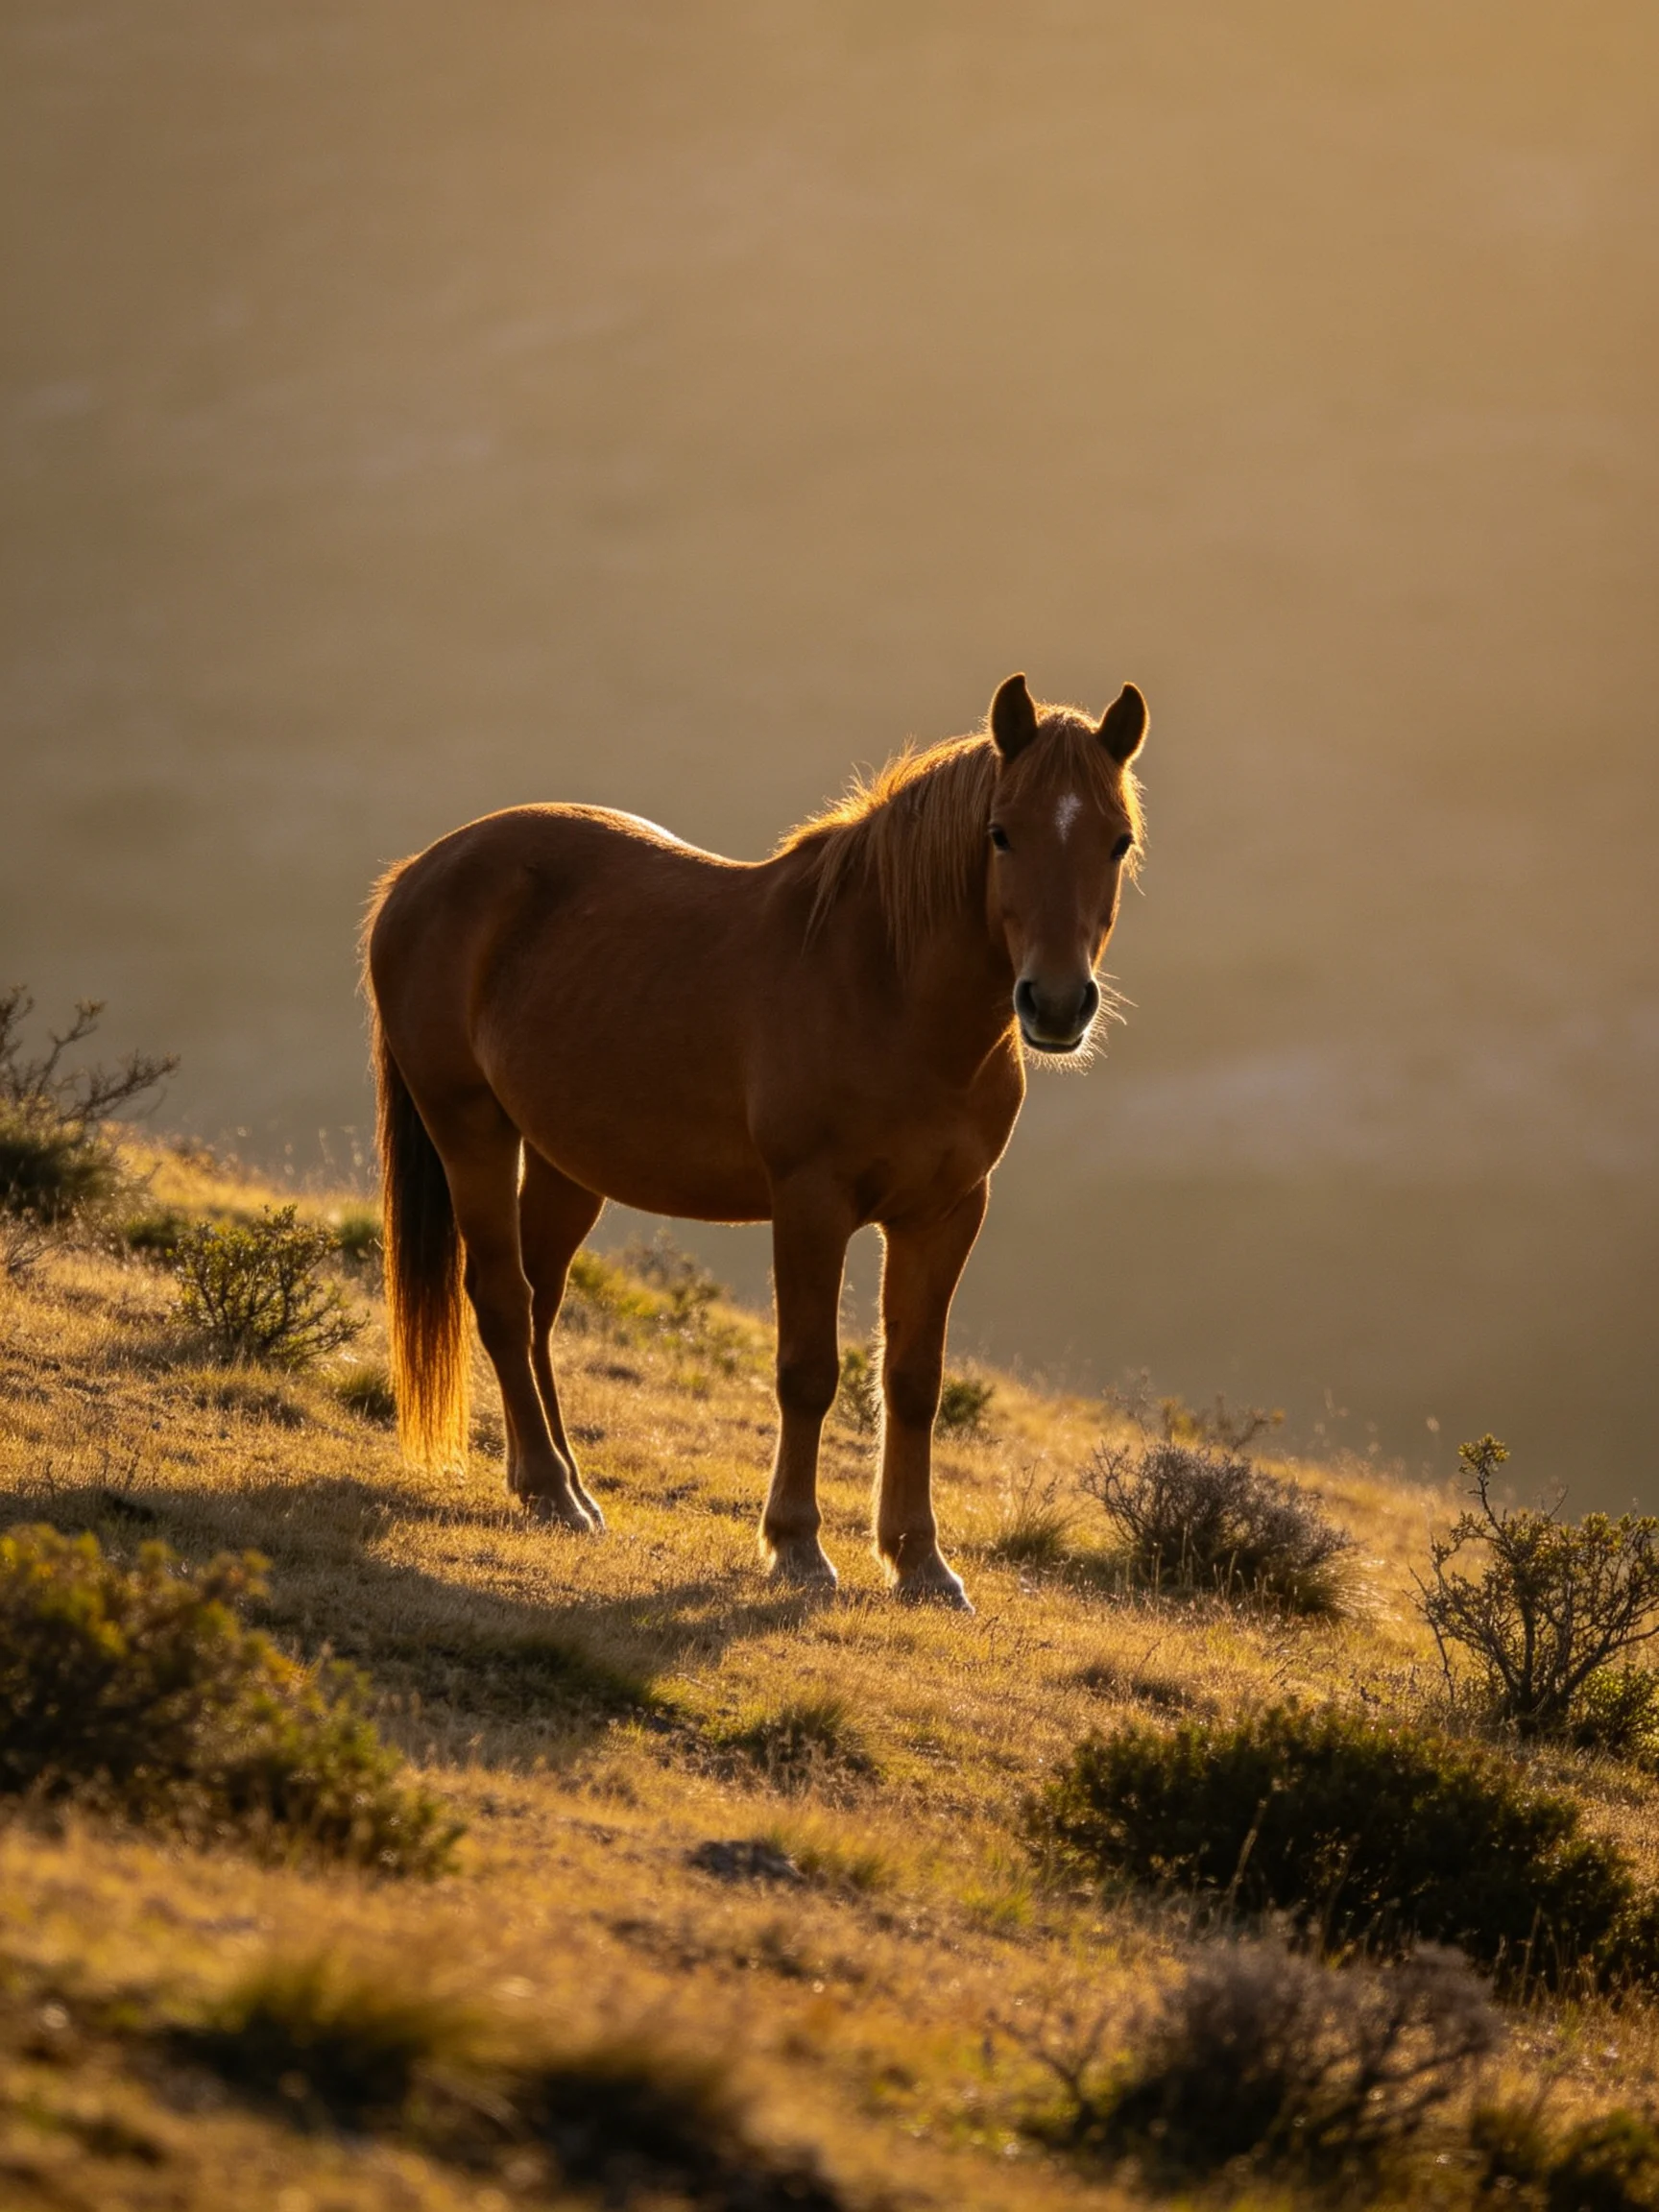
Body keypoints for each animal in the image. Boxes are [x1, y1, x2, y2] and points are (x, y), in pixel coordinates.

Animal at [363, 671, 1147, 1608]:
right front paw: (798, 1546)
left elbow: (913, 1381)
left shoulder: (946, 1213)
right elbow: (808, 1372)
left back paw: (562, 1485)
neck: (885, 986)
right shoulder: (811, 1202)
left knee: (539, 1302)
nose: (1057, 1005)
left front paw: (921, 1563)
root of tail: (417, 875)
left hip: (564, 1164)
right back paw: (552, 1489)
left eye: (1117, 841)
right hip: (470, 1130)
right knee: (504, 1299)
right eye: (1002, 833)